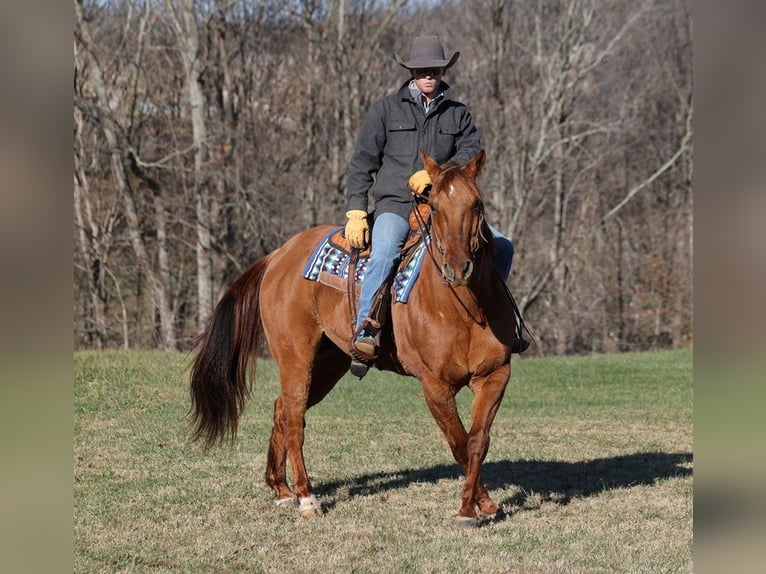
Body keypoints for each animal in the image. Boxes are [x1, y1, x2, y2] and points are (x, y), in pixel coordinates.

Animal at [191, 151, 528, 528]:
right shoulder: (435, 386)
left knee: (282, 409)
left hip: (328, 364)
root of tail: (278, 254)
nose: (458, 268)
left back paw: (281, 489)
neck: (464, 309)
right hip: (295, 356)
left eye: (477, 204)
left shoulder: (494, 376)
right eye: (435, 206)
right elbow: (458, 442)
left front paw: (483, 505)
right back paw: (306, 497)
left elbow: (476, 442)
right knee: (293, 418)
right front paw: (468, 510)